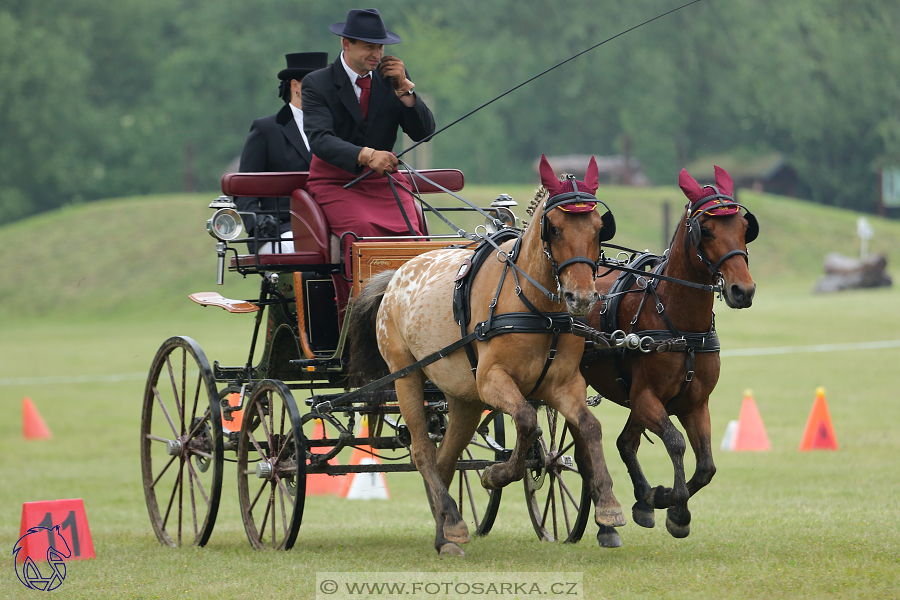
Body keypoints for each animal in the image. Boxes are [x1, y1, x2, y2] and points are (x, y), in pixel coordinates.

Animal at [348, 157, 624, 556]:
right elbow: (527, 419)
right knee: (422, 452)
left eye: (600, 228)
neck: (537, 308)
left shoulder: (564, 384)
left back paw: (445, 533)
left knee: (446, 459)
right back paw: (454, 523)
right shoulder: (493, 381)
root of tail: (395, 275)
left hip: (463, 397)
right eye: (554, 229)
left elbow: (589, 426)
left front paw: (608, 507)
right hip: (406, 375)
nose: (582, 297)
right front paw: (497, 474)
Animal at [580, 166, 756, 540]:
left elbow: (706, 466)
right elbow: (675, 442)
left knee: (624, 442)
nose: (742, 290)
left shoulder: (695, 403)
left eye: (744, 228)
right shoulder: (647, 397)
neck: (679, 323)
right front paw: (670, 502)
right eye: (706, 229)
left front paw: (665, 503)